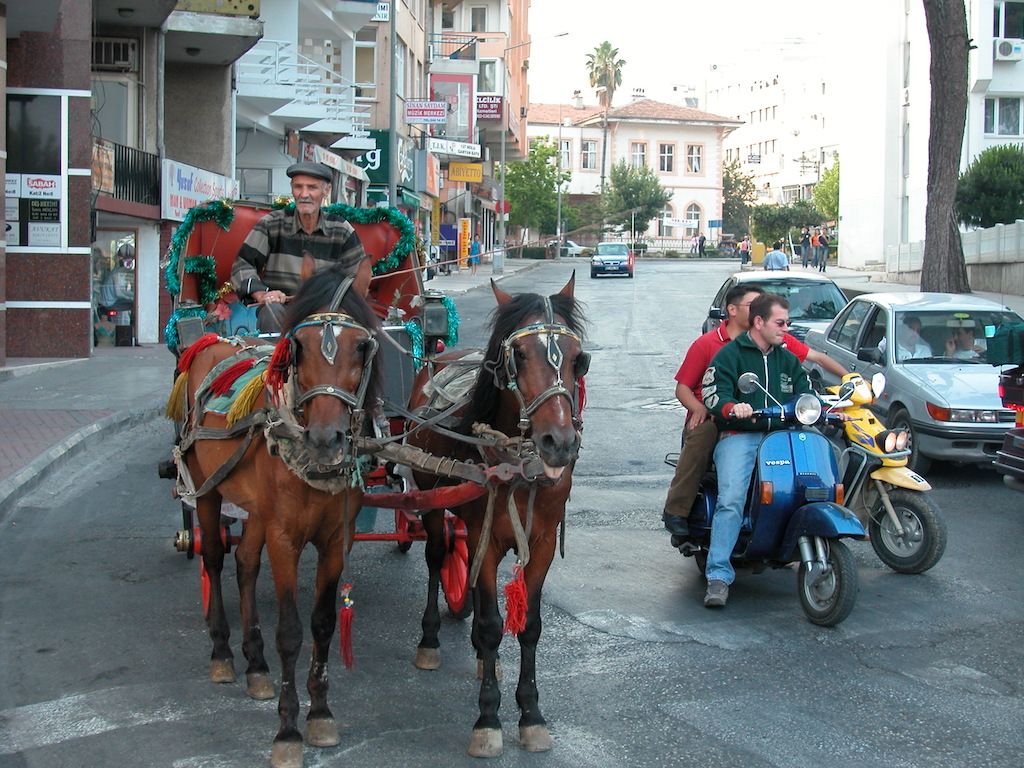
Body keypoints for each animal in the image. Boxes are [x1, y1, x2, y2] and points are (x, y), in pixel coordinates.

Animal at [176, 266, 385, 768]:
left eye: (361, 347)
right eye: (299, 347)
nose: (327, 439)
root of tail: (214, 340)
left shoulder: (337, 538)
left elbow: (323, 623)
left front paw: (321, 714)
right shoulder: (284, 538)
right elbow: (290, 632)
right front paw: (288, 731)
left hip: (256, 510)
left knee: (245, 563)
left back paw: (255, 665)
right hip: (207, 488)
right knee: (215, 557)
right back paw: (223, 654)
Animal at [405, 272, 589, 757]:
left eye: (578, 359)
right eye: (518, 356)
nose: (558, 443)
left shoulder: (541, 543)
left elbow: (530, 628)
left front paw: (531, 714)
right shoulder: (483, 537)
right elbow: (490, 624)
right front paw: (487, 719)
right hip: (432, 502)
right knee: (436, 555)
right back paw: (431, 639)